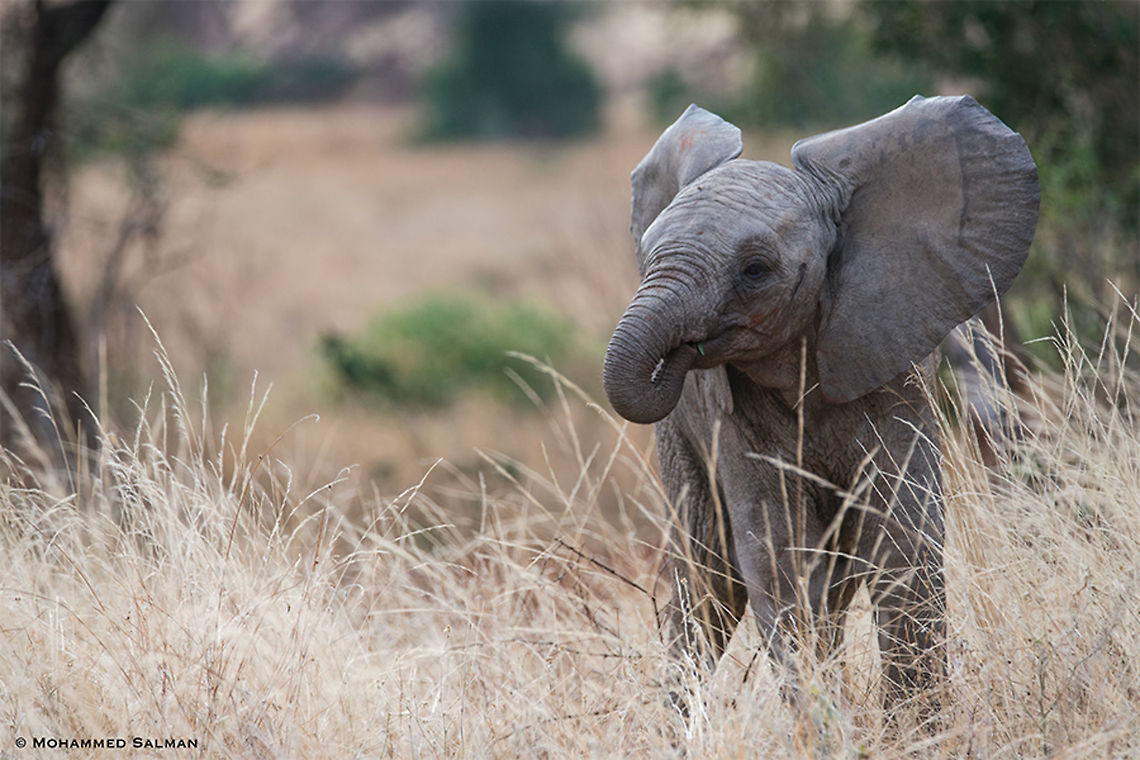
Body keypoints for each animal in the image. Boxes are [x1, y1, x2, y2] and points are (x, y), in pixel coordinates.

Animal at [602, 96, 1039, 715]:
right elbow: (778, 556)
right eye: (646, 256)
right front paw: (827, 722)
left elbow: (905, 540)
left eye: (755, 270)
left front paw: (919, 726)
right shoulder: (732, 418)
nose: (683, 351)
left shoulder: (896, 371)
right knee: (709, 580)